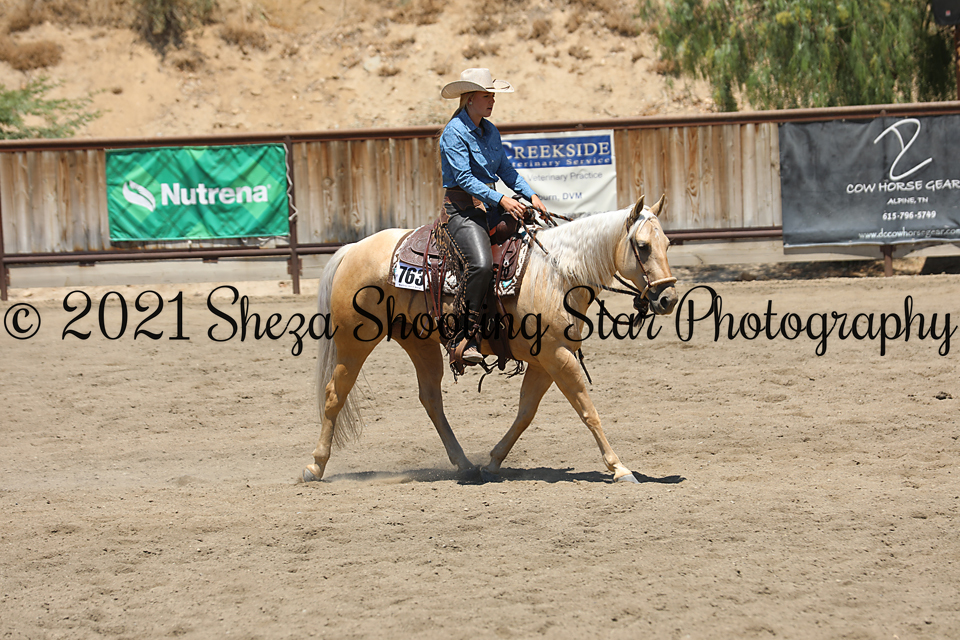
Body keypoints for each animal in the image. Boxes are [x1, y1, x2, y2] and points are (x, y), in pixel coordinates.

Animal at [303, 194, 679, 484]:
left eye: (667, 244)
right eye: (642, 246)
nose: (668, 299)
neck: (556, 274)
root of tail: (353, 249)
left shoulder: (546, 361)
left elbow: (526, 412)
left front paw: (493, 461)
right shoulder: (558, 356)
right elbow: (588, 410)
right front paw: (620, 468)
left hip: (419, 342)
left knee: (431, 399)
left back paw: (466, 465)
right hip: (354, 341)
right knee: (335, 394)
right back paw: (314, 466)